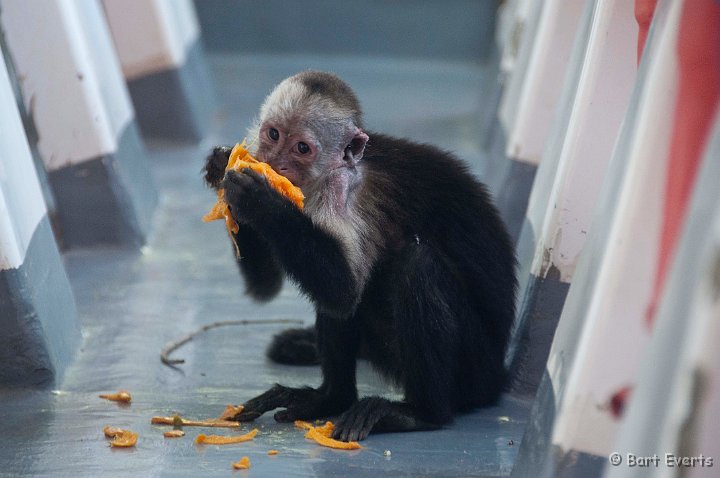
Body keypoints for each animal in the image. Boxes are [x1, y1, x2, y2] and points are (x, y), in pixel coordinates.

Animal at [204, 70, 516, 440]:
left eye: (302, 148)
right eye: (273, 134)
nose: (277, 164)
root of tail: (497, 377)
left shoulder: (344, 193)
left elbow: (342, 291)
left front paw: (261, 201)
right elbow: (267, 286)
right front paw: (221, 168)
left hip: (474, 370)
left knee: (416, 266)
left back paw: (421, 414)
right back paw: (330, 398)